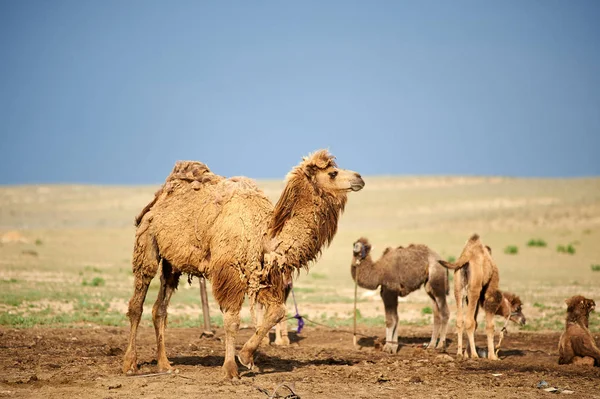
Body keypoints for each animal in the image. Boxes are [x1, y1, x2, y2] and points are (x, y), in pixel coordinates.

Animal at [122, 149, 366, 378]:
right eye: (333, 173)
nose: (360, 178)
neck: (264, 235)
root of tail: (157, 200)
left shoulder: (263, 274)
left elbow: (277, 311)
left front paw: (248, 357)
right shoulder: (230, 272)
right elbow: (232, 320)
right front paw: (231, 368)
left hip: (172, 264)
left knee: (160, 309)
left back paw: (165, 365)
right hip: (147, 245)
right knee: (137, 303)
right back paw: (130, 364)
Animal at [438, 234, 504, 362]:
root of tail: (465, 257)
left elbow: (475, 321)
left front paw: (465, 354)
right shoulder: (489, 289)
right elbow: (489, 325)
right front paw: (493, 357)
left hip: (458, 288)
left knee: (460, 321)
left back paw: (459, 353)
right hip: (474, 288)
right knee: (469, 321)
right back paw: (474, 354)